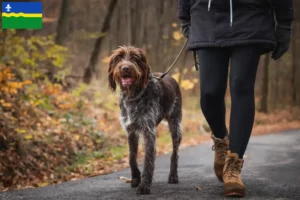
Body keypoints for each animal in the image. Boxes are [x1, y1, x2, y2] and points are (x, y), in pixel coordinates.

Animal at [108, 46, 183, 195]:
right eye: (119, 58)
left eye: (135, 58)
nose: (125, 68)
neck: (133, 95)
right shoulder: (131, 130)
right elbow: (132, 157)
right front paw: (136, 178)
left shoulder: (148, 131)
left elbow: (148, 159)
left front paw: (144, 185)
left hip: (175, 125)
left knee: (175, 152)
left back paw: (173, 175)